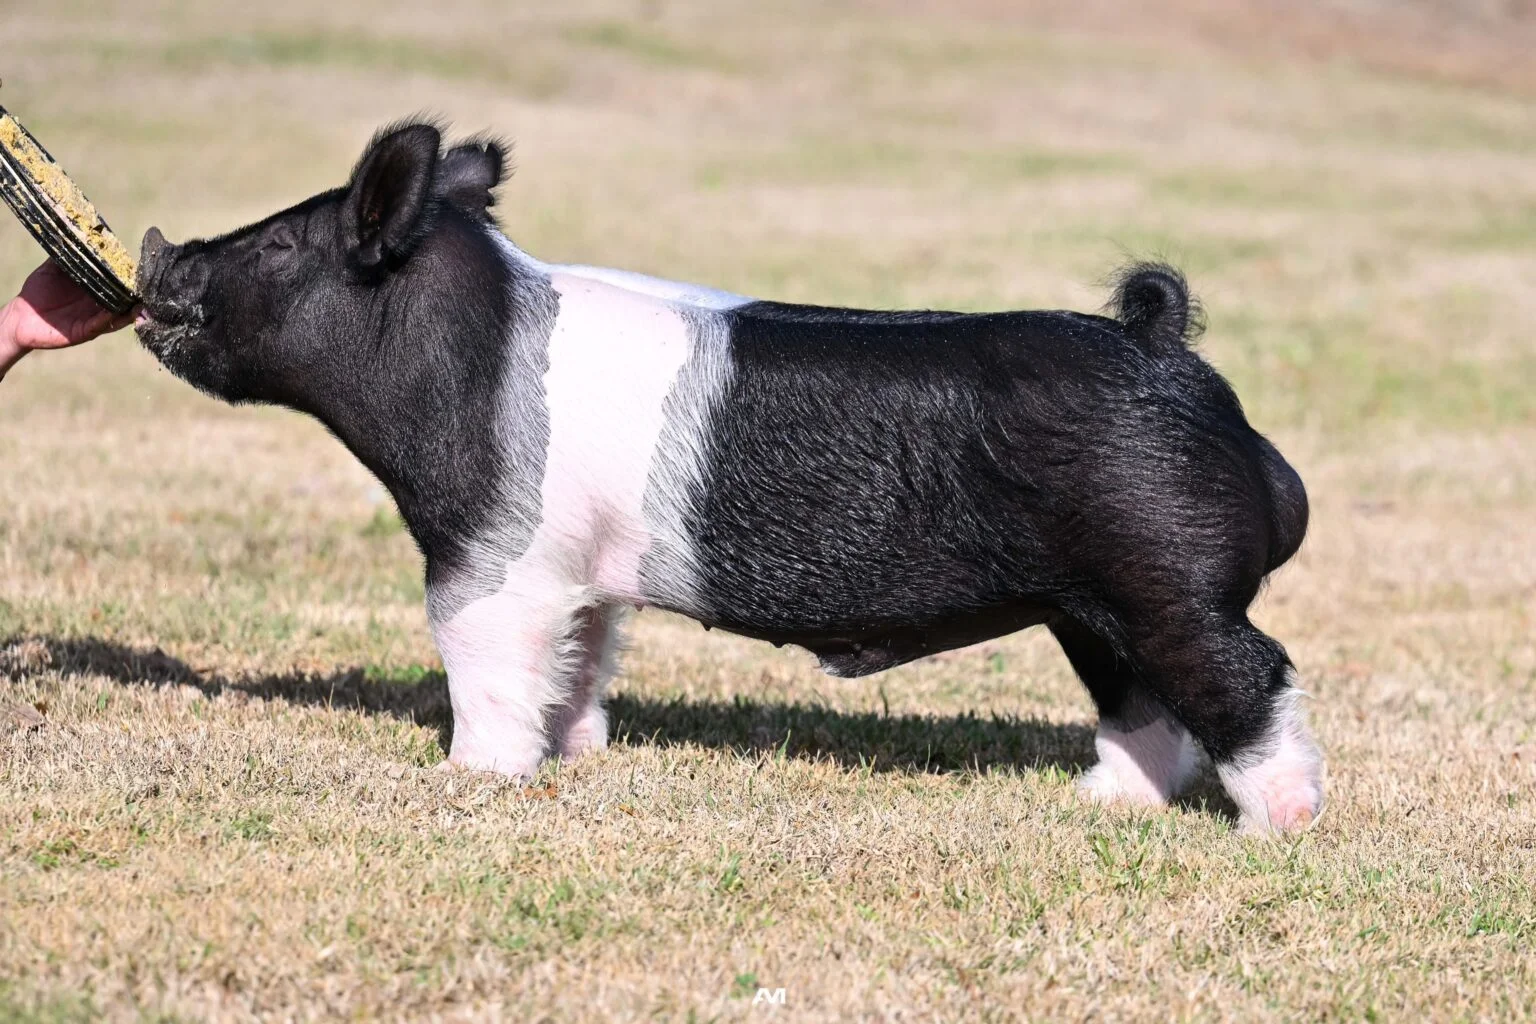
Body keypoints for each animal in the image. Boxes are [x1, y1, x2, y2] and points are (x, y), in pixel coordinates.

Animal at [134, 120, 1321, 833]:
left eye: (281, 249)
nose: (158, 250)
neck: (461, 364)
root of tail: (1170, 356)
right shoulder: (583, 573)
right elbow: (582, 662)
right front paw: (577, 753)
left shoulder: (491, 558)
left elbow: (484, 667)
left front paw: (466, 778)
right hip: (1094, 604)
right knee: (1145, 704)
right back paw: (1098, 804)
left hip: (1165, 579)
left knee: (1249, 676)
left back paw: (1282, 825)